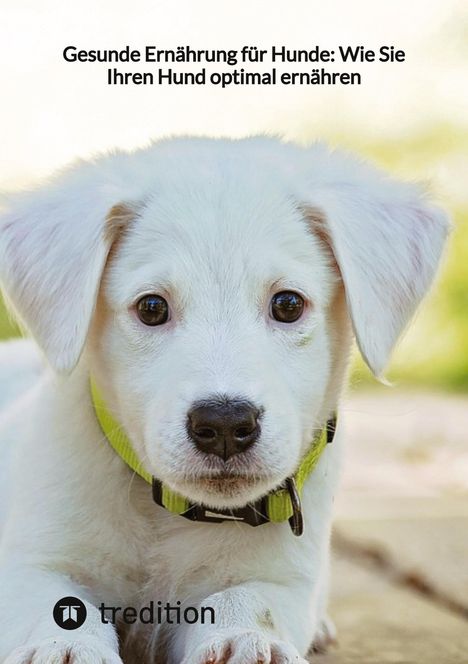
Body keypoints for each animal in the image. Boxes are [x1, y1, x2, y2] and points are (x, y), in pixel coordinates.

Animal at [0, 136, 448, 664]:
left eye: (288, 304)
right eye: (151, 307)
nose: (226, 426)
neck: (169, 516)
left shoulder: (286, 581)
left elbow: (248, 599)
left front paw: (247, 639)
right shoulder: (31, 561)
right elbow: (58, 603)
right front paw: (65, 647)